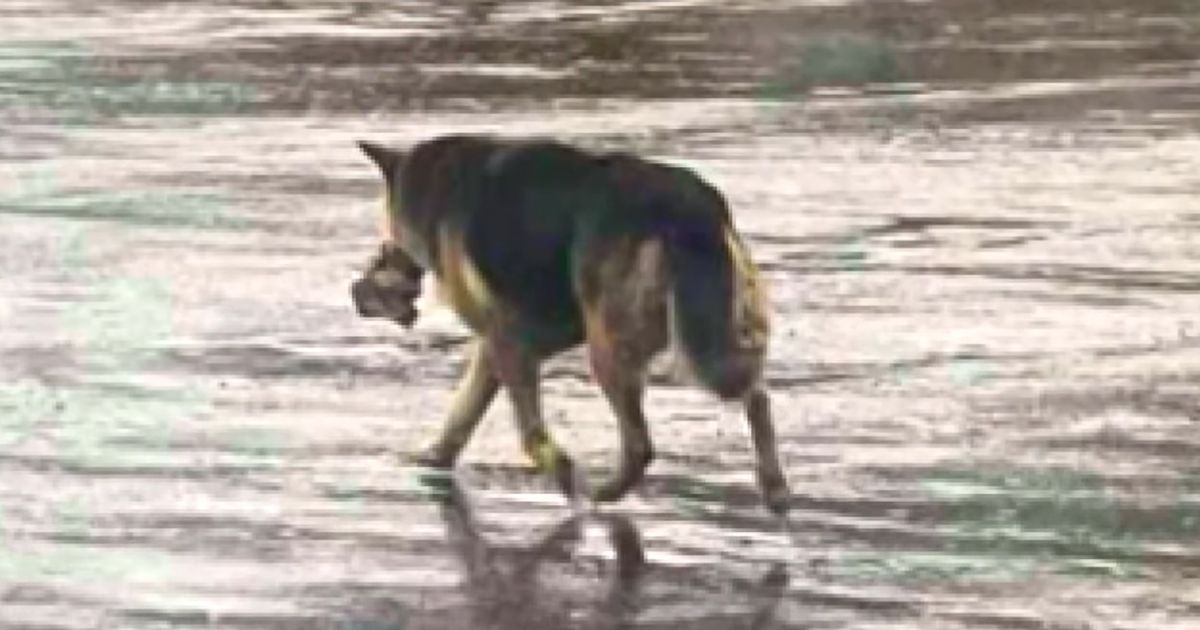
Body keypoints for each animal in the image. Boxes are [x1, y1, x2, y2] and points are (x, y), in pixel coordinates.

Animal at [350, 135, 792, 513]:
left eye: (385, 238)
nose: (360, 289)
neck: (435, 187)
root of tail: (685, 207)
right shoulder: (505, 343)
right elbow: (463, 413)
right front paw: (434, 458)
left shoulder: (509, 341)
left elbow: (528, 431)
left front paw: (563, 475)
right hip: (706, 335)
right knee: (756, 394)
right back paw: (775, 487)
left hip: (612, 349)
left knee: (641, 444)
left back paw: (604, 495)